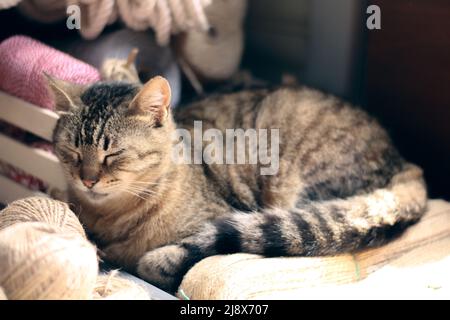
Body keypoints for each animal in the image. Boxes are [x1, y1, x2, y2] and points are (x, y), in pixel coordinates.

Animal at [47, 63, 428, 294]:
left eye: (113, 154)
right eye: (73, 151)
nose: (87, 180)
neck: (110, 218)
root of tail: (404, 161)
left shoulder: (215, 218)